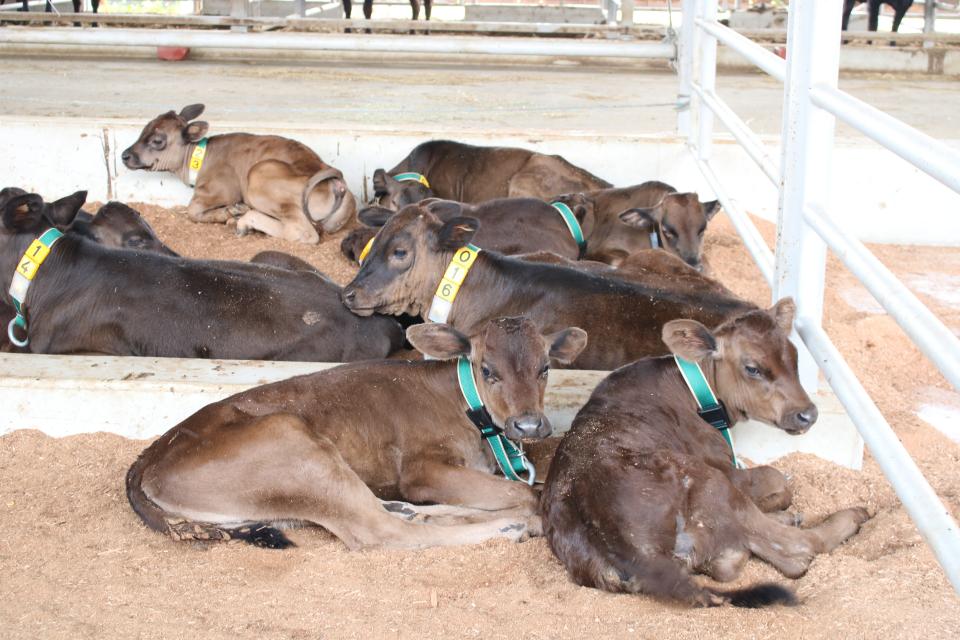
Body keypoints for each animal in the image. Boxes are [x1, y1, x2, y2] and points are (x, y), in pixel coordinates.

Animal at [121, 104, 355, 244]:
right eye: (144, 130)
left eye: (157, 140)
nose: (125, 155)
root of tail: (336, 182)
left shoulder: (220, 190)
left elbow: (192, 211)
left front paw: (228, 212)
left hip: (260, 176)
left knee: (301, 232)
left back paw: (242, 220)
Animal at [126, 317, 587, 549]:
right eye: (488, 370)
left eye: (546, 367)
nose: (529, 424)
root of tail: (150, 456)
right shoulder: (422, 470)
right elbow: (527, 493)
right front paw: (523, 511)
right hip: (294, 446)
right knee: (380, 531)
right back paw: (508, 528)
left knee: (390, 512)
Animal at [541, 300, 871, 607]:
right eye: (752, 368)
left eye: (795, 357)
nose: (808, 414)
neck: (695, 391)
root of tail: (636, 550)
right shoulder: (726, 469)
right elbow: (777, 478)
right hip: (711, 484)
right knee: (797, 550)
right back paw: (851, 516)